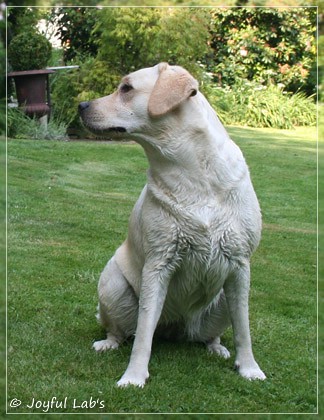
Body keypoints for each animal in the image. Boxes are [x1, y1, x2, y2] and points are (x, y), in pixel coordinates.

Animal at [78, 62, 266, 388]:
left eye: (126, 88)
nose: (81, 105)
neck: (192, 173)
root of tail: (173, 328)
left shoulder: (240, 265)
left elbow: (243, 328)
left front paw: (249, 368)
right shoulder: (159, 263)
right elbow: (143, 335)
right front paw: (134, 376)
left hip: (220, 301)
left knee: (210, 334)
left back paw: (216, 348)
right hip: (113, 285)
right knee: (123, 330)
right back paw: (108, 343)